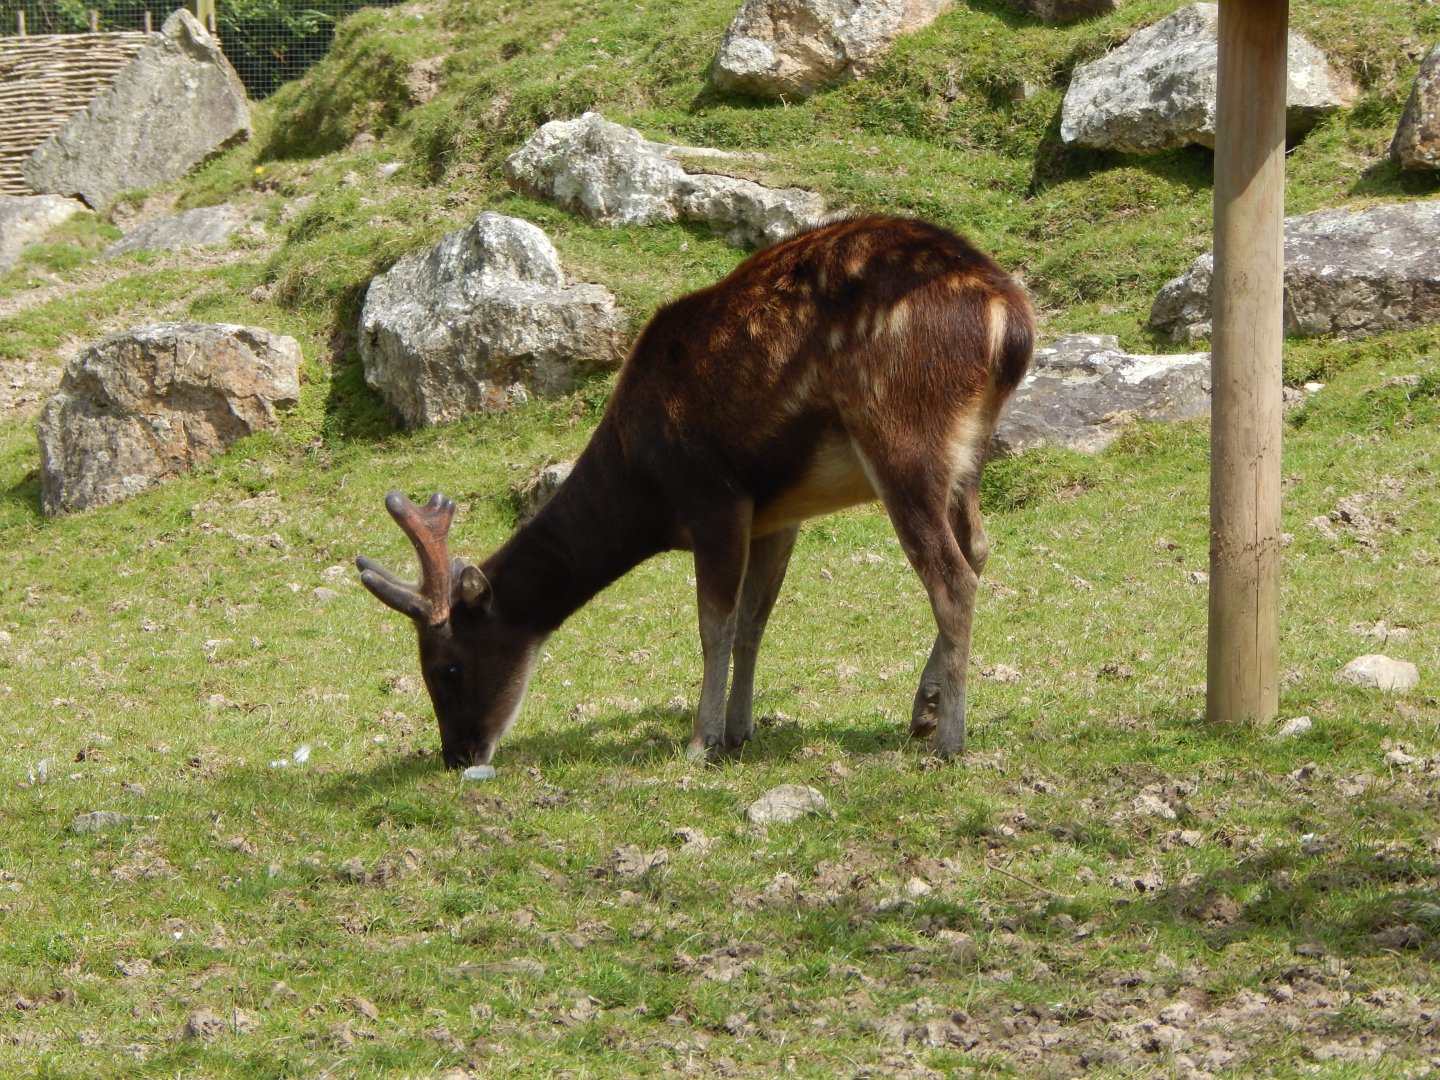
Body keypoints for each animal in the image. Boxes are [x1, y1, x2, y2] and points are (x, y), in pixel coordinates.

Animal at [358, 215, 1033, 769]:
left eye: (447, 666)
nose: (458, 754)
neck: (644, 488)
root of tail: (1012, 323)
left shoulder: (713, 497)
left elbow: (715, 625)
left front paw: (700, 741)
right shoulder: (777, 514)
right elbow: (755, 620)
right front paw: (738, 731)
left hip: (903, 436)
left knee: (950, 574)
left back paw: (949, 741)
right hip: (966, 454)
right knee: (978, 548)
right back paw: (924, 710)